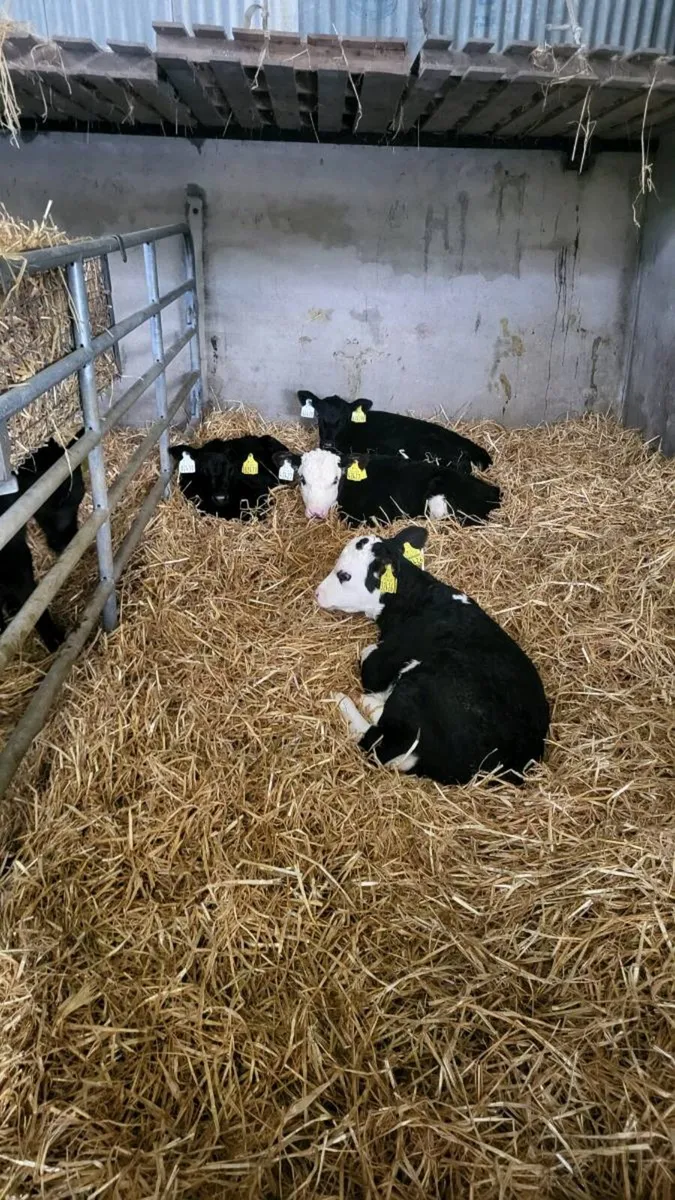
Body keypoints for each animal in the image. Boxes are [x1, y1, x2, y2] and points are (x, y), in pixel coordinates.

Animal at [316, 526, 550, 785]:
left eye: (344, 575)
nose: (317, 593)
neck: (416, 597)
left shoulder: (381, 661)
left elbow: (368, 658)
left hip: (423, 683)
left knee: (379, 743)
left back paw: (346, 700)